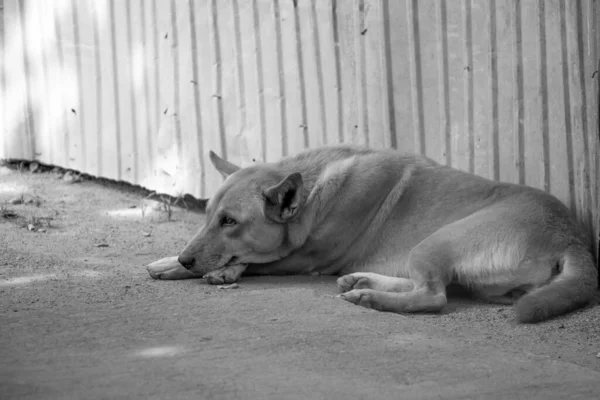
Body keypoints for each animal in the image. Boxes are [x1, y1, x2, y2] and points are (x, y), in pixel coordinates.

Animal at [146, 145, 596, 324]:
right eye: (208, 216)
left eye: (229, 222)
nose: (186, 257)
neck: (313, 193)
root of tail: (572, 237)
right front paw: (175, 261)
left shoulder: (305, 259)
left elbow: (254, 262)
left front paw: (194, 268)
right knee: (427, 286)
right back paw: (363, 282)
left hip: (436, 241)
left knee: (432, 297)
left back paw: (370, 297)